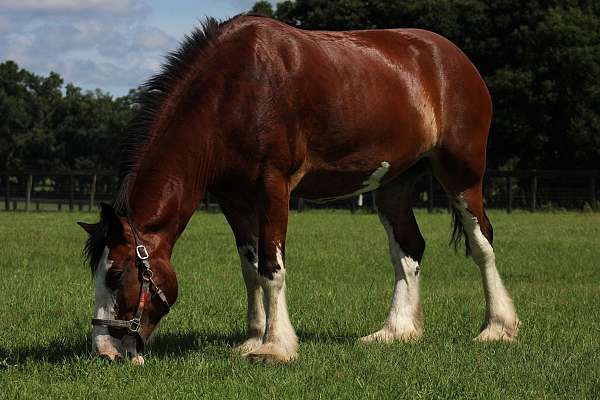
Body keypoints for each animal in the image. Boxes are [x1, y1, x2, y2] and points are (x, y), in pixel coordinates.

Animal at [78, 14, 520, 362]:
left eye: (115, 274)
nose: (105, 351)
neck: (236, 90)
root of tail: (454, 58)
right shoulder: (233, 199)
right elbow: (250, 269)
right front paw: (252, 339)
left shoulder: (273, 186)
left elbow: (272, 268)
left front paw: (275, 347)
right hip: (394, 185)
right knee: (408, 251)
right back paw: (396, 332)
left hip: (462, 175)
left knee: (482, 243)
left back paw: (497, 328)